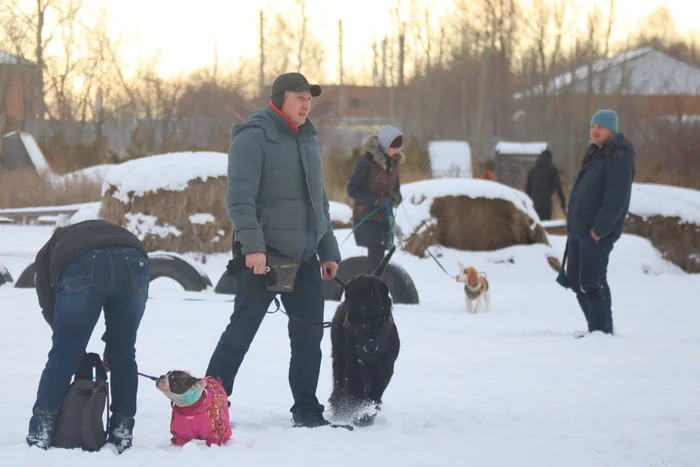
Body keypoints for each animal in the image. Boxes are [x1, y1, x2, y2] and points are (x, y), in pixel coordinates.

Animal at [328, 247, 400, 426]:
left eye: (372, 292)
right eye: (353, 291)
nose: (360, 309)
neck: (370, 335)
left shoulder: (385, 366)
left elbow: (375, 391)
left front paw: (367, 413)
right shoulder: (354, 364)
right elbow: (356, 390)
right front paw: (358, 412)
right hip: (339, 358)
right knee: (339, 385)